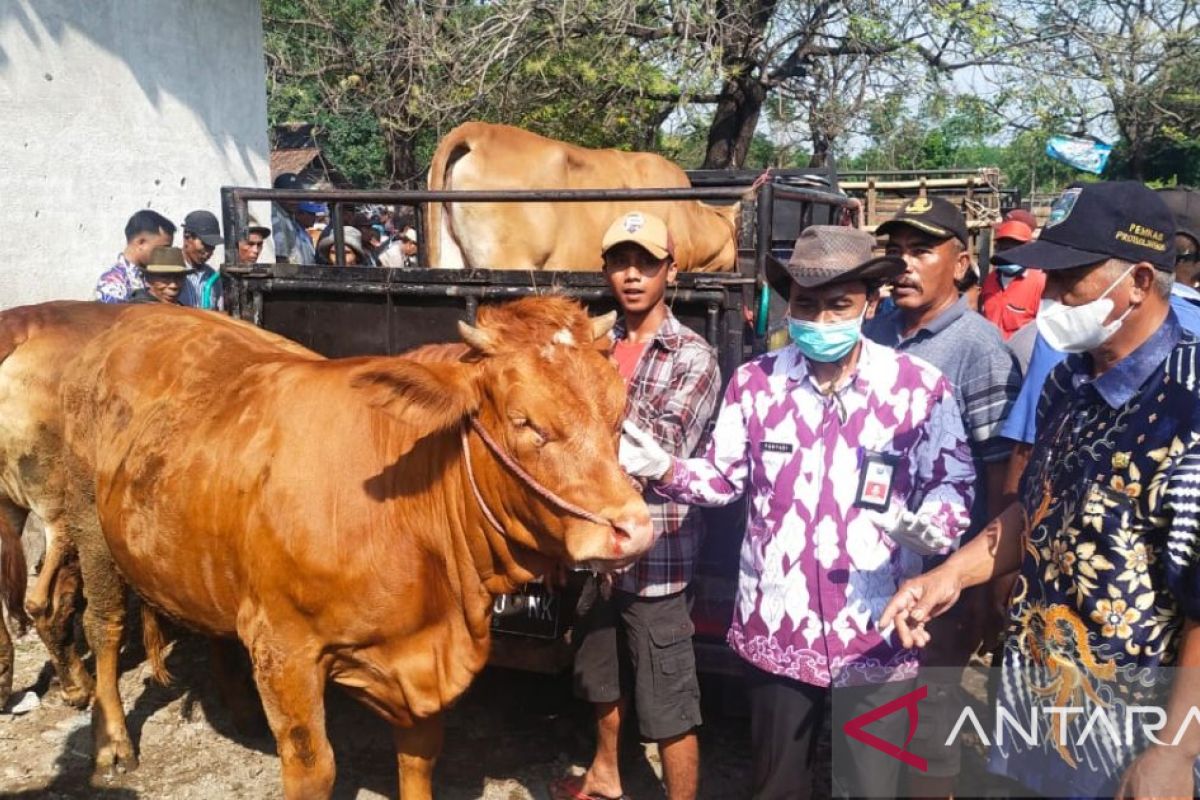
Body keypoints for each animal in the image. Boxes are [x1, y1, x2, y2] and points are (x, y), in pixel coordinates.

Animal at [54, 297, 657, 796]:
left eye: (618, 414)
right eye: (525, 421)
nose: (632, 528)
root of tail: (136, 316)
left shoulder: (421, 663)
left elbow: (419, 758)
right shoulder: (284, 649)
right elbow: (313, 768)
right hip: (90, 529)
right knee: (104, 627)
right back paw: (112, 747)